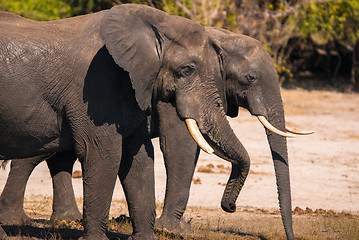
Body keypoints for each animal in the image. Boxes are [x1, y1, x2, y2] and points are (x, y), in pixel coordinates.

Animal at [0, 4, 253, 240]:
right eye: (187, 69)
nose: (230, 206)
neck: (155, 24)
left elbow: (139, 157)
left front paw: (144, 238)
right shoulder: (95, 85)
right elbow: (103, 154)